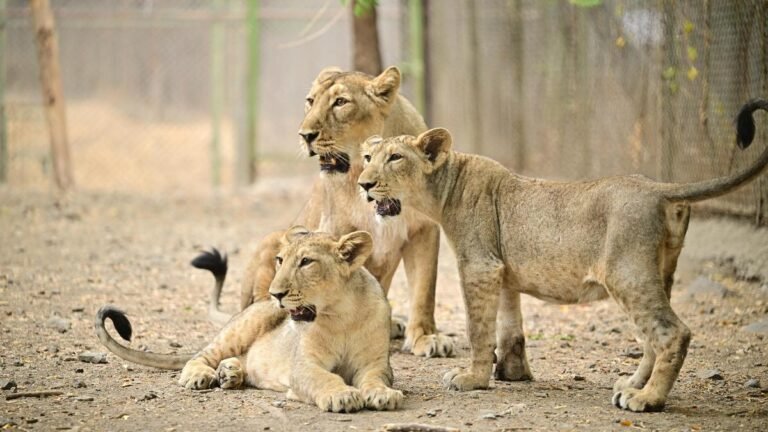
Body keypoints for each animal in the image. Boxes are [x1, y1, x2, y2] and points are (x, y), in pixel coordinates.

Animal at [95, 227, 403, 413]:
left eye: (306, 262)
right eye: (280, 260)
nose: (276, 293)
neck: (341, 315)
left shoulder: (375, 363)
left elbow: (375, 378)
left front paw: (383, 395)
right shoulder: (303, 366)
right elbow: (324, 377)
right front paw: (343, 396)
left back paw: (230, 373)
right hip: (246, 325)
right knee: (198, 356)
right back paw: (203, 375)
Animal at [207, 66, 454, 358]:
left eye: (341, 102)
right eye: (310, 101)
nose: (304, 135)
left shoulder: (424, 230)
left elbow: (424, 289)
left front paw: (426, 337)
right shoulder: (334, 230)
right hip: (272, 241)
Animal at [356, 100, 768, 412]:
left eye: (395, 158)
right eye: (367, 157)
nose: (363, 184)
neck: (443, 188)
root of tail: (659, 188)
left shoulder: (479, 266)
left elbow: (478, 328)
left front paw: (471, 378)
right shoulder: (501, 270)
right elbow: (509, 325)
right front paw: (512, 373)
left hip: (627, 273)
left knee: (672, 332)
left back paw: (647, 399)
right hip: (659, 272)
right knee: (652, 336)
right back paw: (631, 385)